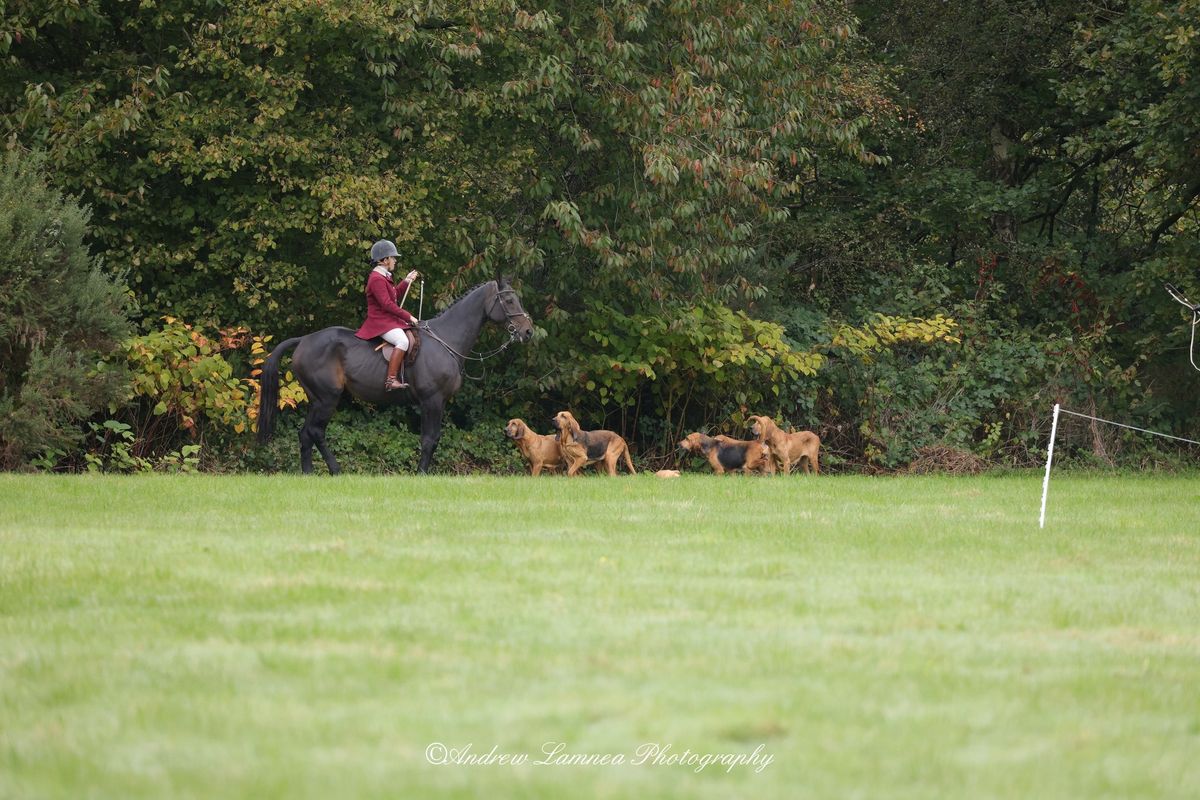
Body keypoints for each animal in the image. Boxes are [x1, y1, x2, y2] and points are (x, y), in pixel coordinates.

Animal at [258, 278, 535, 472]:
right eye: (509, 301)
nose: (528, 331)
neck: (445, 339)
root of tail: (304, 339)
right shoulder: (431, 400)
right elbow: (429, 439)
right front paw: (421, 474)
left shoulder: (439, 402)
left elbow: (433, 439)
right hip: (327, 398)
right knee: (315, 432)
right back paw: (334, 470)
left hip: (316, 399)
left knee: (307, 434)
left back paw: (310, 473)